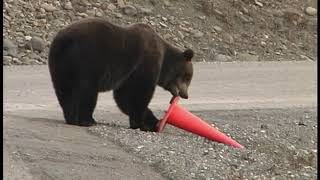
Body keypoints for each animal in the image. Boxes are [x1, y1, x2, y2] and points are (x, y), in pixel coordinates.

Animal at [48, 17, 194, 131]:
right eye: (187, 77)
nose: (185, 95)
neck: (164, 61)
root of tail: (64, 40)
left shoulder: (128, 75)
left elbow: (123, 97)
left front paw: (152, 121)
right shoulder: (144, 64)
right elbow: (138, 93)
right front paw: (142, 123)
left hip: (60, 64)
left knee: (65, 91)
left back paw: (71, 117)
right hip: (88, 60)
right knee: (87, 90)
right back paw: (87, 120)